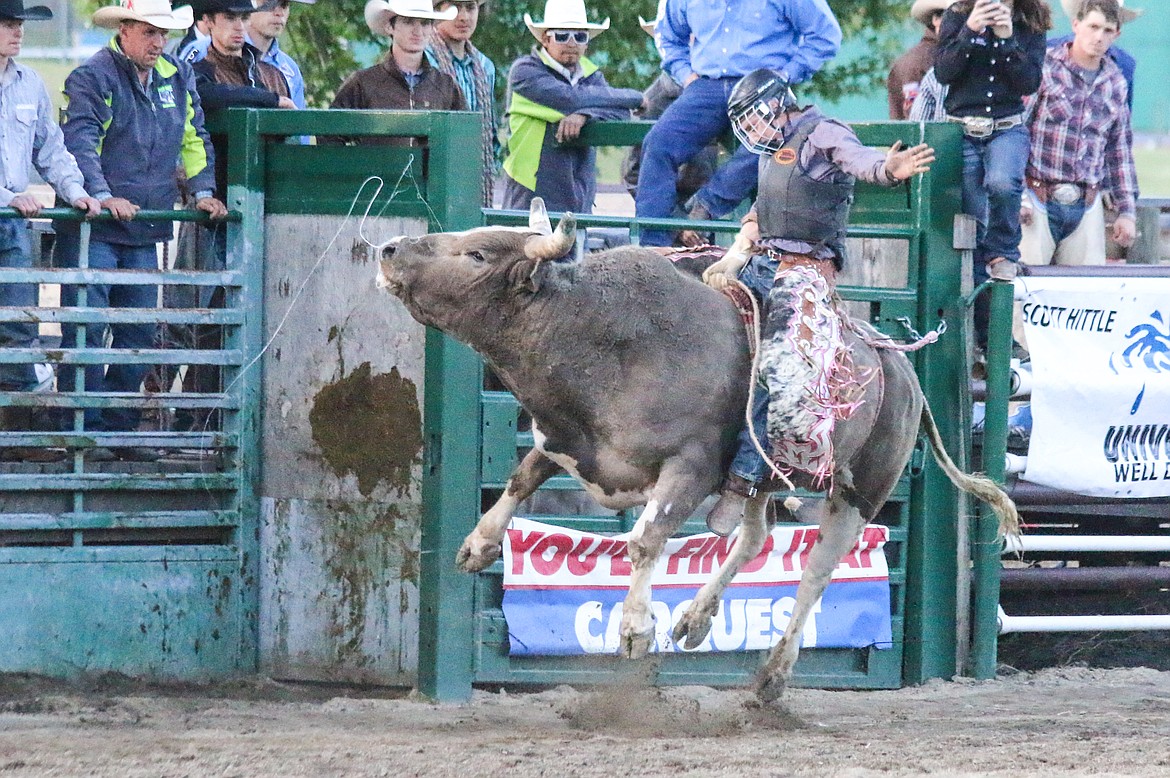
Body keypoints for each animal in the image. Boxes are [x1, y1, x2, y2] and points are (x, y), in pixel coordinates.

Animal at [376, 197, 1015, 701]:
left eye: (478, 255)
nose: (388, 248)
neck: (599, 335)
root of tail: (903, 372)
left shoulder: (691, 467)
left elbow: (646, 539)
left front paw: (635, 628)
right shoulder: (561, 439)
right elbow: (519, 479)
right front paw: (479, 545)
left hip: (861, 490)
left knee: (816, 571)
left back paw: (771, 677)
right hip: (762, 476)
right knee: (755, 536)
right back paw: (695, 619)